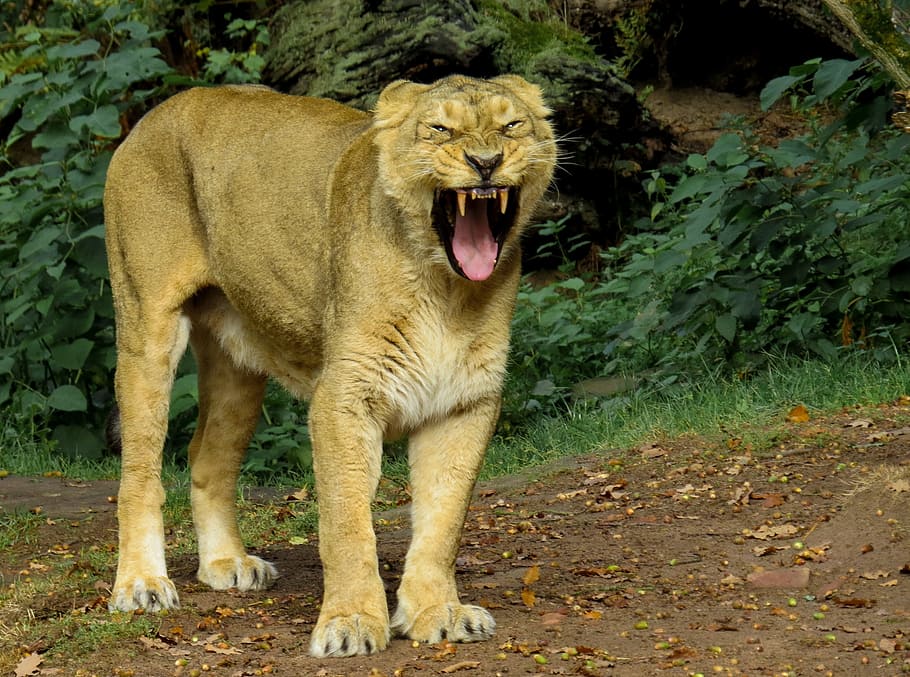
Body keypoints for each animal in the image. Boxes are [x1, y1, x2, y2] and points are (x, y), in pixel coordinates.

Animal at [103, 74, 557, 657]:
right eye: (440, 129)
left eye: (512, 125)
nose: (486, 162)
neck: (447, 290)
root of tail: (153, 115)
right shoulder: (344, 398)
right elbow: (347, 523)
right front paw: (351, 623)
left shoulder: (464, 403)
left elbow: (442, 522)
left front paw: (438, 612)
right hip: (146, 329)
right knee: (141, 470)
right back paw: (141, 585)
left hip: (237, 366)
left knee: (207, 455)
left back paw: (228, 564)